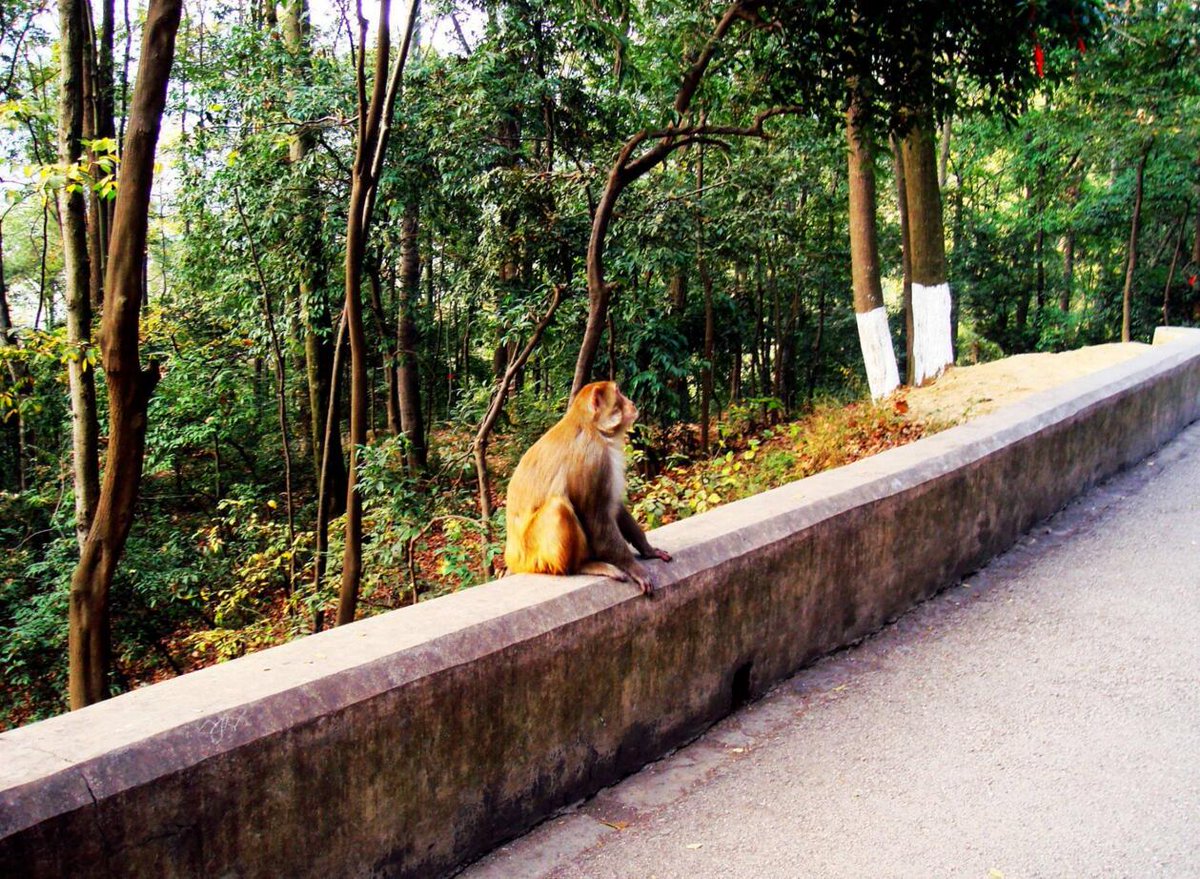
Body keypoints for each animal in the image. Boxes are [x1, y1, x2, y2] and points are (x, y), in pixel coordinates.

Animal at [504, 381, 672, 594]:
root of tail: (512, 557)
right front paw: (634, 567)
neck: (592, 427)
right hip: (533, 556)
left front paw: (648, 550)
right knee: (558, 508)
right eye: (618, 393)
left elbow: (614, 507)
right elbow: (598, 522)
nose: (632, 403)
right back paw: (582, 566)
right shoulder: (594, 458)